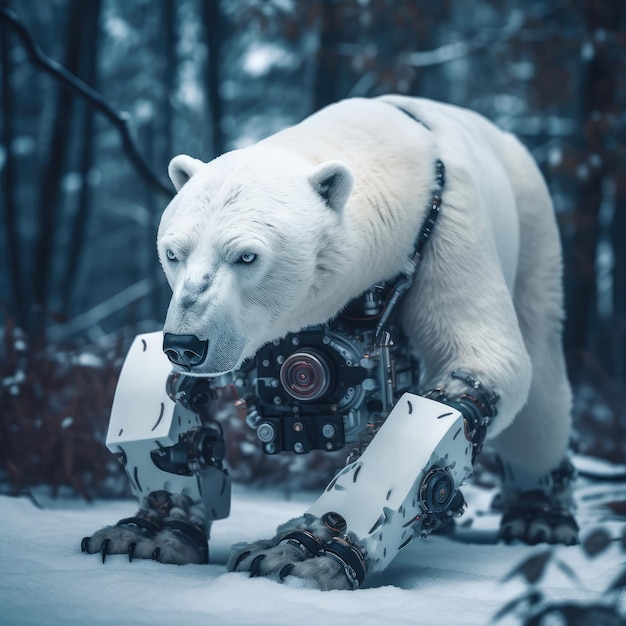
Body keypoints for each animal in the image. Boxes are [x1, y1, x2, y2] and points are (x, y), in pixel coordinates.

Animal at [80, 95, 576, 588]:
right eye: (172, 252)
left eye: (246, 256)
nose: (186, 344)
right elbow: (163, 385)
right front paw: (145, 533)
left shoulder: (448, 229)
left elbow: (478, 367)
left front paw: (297, 552)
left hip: (533, 228)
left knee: (541, 386)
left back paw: (540, 516)